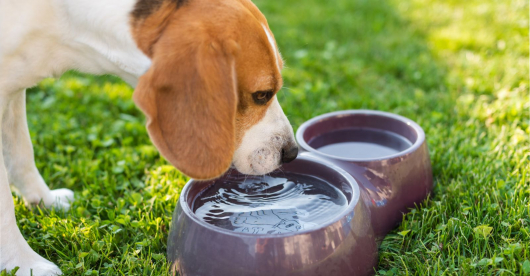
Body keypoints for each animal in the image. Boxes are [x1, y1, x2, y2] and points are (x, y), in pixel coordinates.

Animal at [0, 0, 296, 274]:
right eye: (261, 95)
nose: (291, 153)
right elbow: (5, 206)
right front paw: (25, 264)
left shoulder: (13, 92)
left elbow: (22, 153)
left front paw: (44, 201)